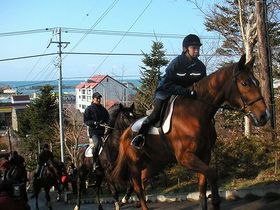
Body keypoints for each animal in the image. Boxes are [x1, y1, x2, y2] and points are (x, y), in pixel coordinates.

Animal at [112, 55, 272, 210]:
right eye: (244, 83)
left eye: (257, 82)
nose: (265, 115)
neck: (196, 113)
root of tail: (125, 133)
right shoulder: (185, 157)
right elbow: (212, 174)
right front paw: (215, 201)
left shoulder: (204, 155)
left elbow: (202, 188)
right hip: (135, 165)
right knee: (137, 187)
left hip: (155, 163)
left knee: (142, 179)